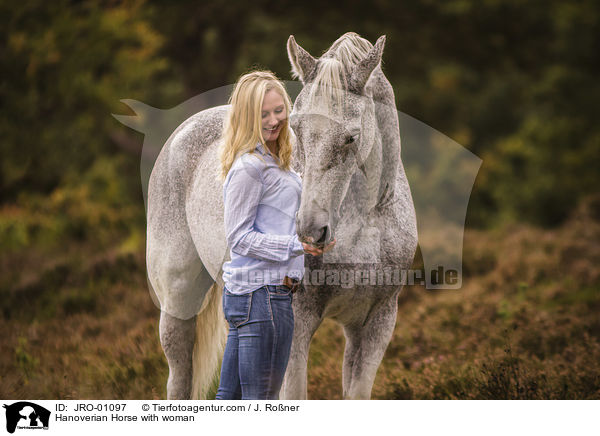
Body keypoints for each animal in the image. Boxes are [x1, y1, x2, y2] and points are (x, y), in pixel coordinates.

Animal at [146, 32, 418, 400]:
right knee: (179, 377)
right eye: (297, 130)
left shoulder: (375, 322)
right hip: (179, 300)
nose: (310, 230)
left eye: (351, 137)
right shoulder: (298, 321)